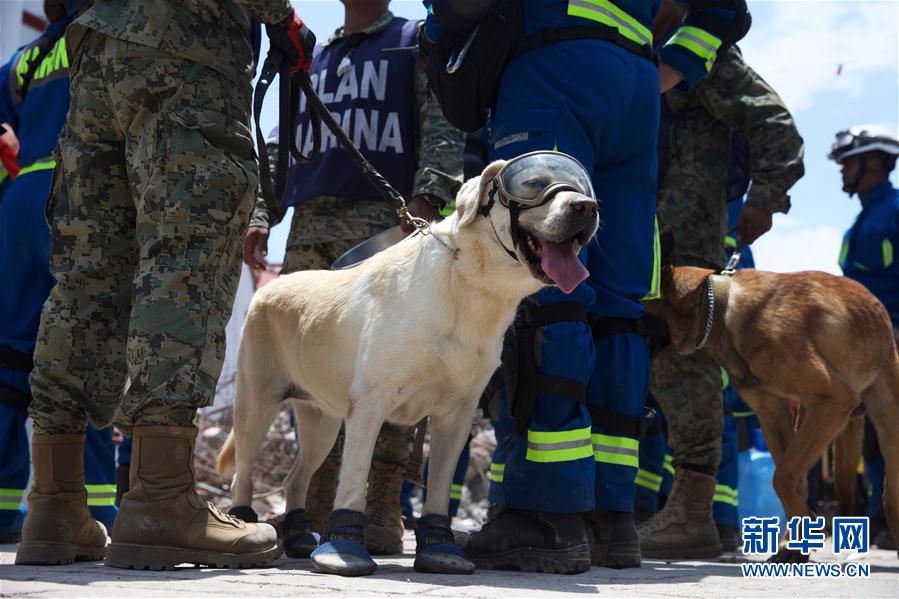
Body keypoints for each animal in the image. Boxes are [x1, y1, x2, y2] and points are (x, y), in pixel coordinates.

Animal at [216, 156, 596, 576]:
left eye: (582, 186)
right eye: (534, 183)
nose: (587, 207)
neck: (469, 286)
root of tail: (268, 287)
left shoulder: (456, 416)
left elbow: (440, 488)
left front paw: (440, 546)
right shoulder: (369, 403)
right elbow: (353, 480)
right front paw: (343, 546)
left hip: (321, 422)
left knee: (294, 478)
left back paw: (299, 536)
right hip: (257, 404)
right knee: (243, 472)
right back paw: (246, 523)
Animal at [652, 238, 896, 564]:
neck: (721, 308)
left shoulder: (834, 401)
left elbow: (782, 477)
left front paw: (798, 543)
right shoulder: (773, 414)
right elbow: (792, 479)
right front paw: (794, 544)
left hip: (883, 419)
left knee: (889, 495)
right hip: (809, 414)